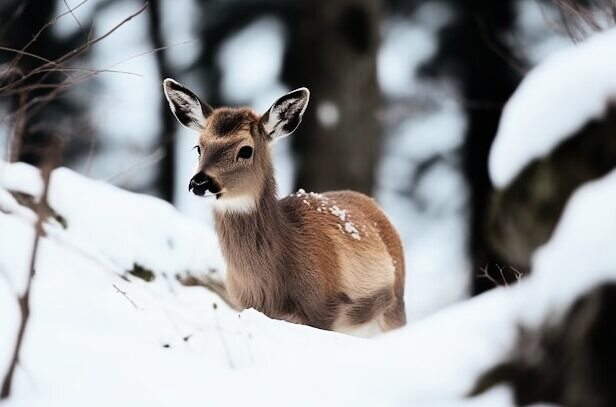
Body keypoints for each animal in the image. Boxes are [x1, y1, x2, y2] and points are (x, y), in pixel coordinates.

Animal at [161, 79, 406, 338]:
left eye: (245, 150)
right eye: (198, 147)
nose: (199, 182)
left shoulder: (323, 311)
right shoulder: (244, 304)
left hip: (396, 304)